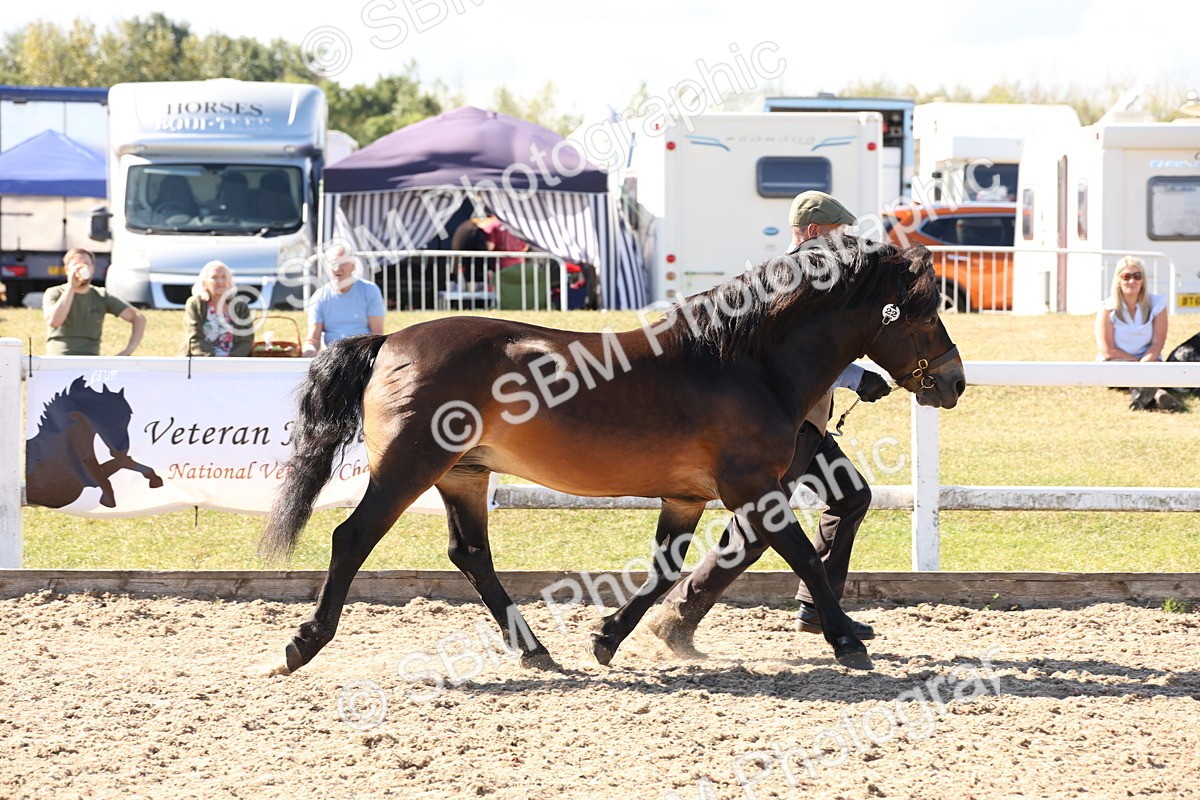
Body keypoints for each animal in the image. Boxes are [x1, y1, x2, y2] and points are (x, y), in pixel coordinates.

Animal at [25, 376, 163, 509]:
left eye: (128, 415)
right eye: (103, 415)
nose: (120, 450)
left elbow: (123, 462)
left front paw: (155, 480)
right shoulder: (88, 479)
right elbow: (107, 477)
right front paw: (108, 500)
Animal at [260, 236, 966, 677]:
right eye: (925, 315)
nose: (955, 382)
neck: (744, 363)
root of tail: (389, 342)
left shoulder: (688, 496)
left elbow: (665, 568)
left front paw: (606, 637)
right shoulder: (753, 489)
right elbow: (804, 557)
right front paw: (845, 638)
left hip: (464, 474)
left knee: (470, 555)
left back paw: (536, 651)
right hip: (411, 468)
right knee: (353, 538)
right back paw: (301, 645)